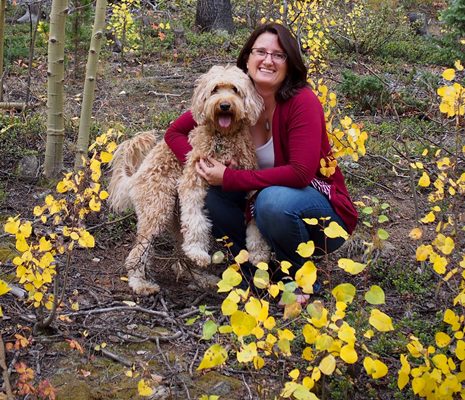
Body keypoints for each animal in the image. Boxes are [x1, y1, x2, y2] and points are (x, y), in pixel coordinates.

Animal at [107, 65, 270, 296]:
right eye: (215, 89)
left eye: (235, 90)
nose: (225, 105)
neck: (224, 138)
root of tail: (136, 177)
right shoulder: (192, 180)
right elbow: (195, 219)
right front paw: (198, 251)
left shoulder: (249, 179)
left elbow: (254, 218)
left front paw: (259, 252)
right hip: (157, 210)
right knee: (137, 253)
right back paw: (140, 283)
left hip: (173, 219)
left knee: (179, 257)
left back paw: (200, 278)